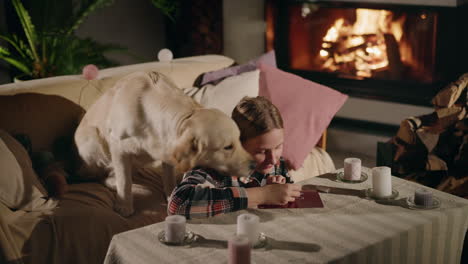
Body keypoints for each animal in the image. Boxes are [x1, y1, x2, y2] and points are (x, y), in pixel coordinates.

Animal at [75, 71, 254, 216]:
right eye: (227, 147)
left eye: (239, 140)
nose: (254, 165)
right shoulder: (118, 147)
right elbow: (124, 181)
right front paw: (124, 205)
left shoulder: (168, 152)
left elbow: (169, 179)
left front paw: (170, 196)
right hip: (93, 139)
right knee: (101, 175)